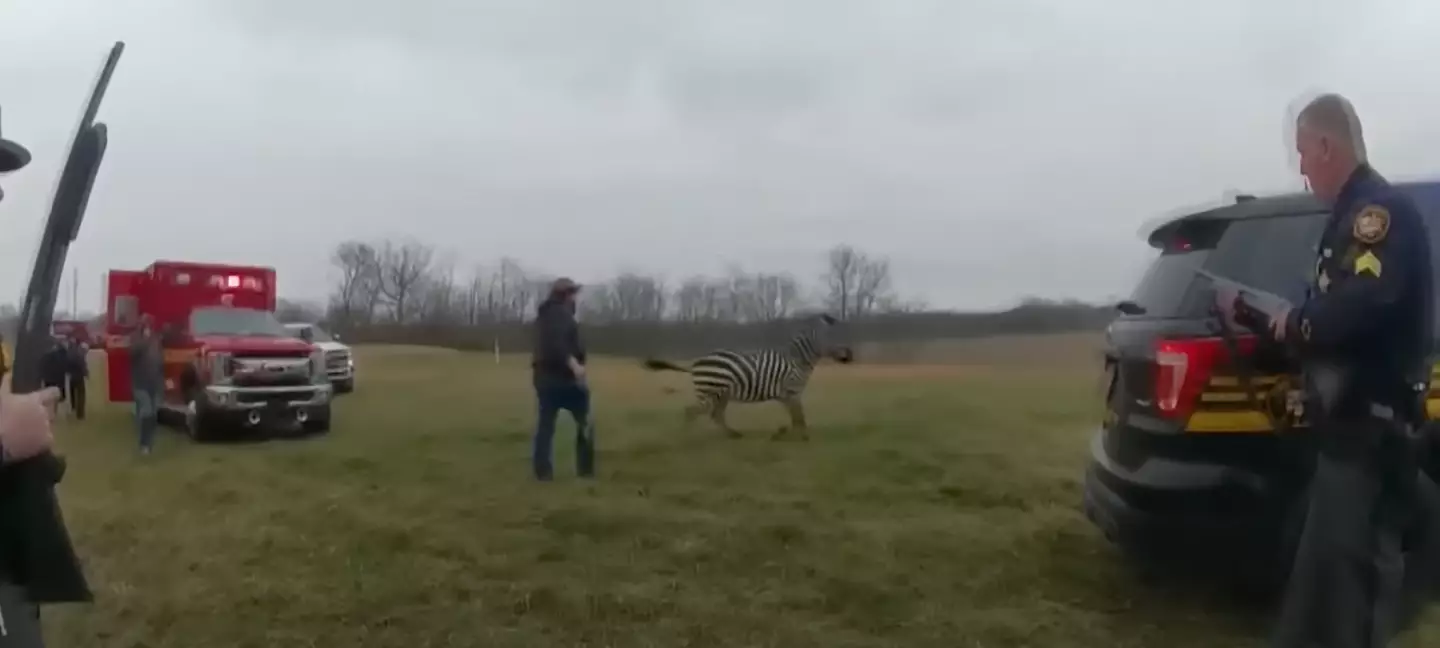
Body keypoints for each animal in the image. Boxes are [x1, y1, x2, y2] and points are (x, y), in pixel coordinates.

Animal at [642, 313, 855, 440]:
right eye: (834, 337)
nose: (849, 356)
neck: (798, 359)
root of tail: (696, 362)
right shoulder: (792, 391)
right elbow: (799, 416)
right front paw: (802, 437)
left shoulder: (787, 395)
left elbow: (795, 417)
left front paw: (784, 433)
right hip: (709, 390)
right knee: (692, 411)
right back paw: (685, 438)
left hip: (721, 394)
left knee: (716, 415)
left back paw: (734, 434)